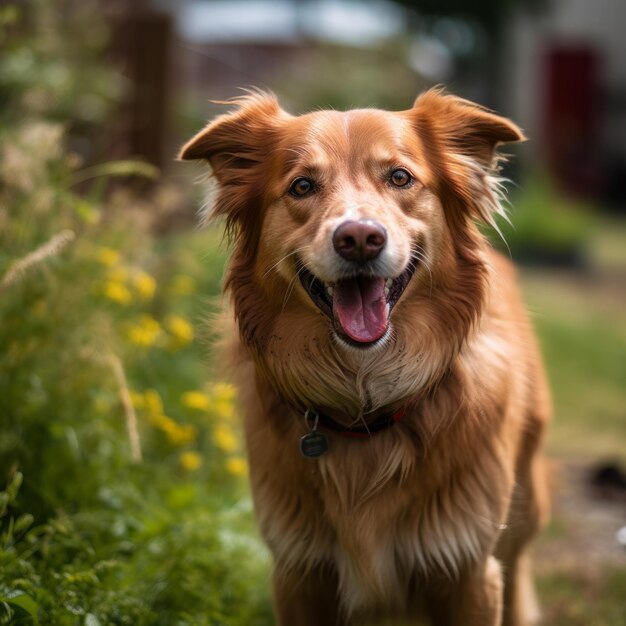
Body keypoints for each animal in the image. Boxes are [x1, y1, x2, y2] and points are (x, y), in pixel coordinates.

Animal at [178, 89, 548, 624]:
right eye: (302, 185)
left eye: (400, 177)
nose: (358, 239)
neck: (365, 401)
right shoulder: (299, 571)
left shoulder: (469, 570)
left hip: (523, 511)